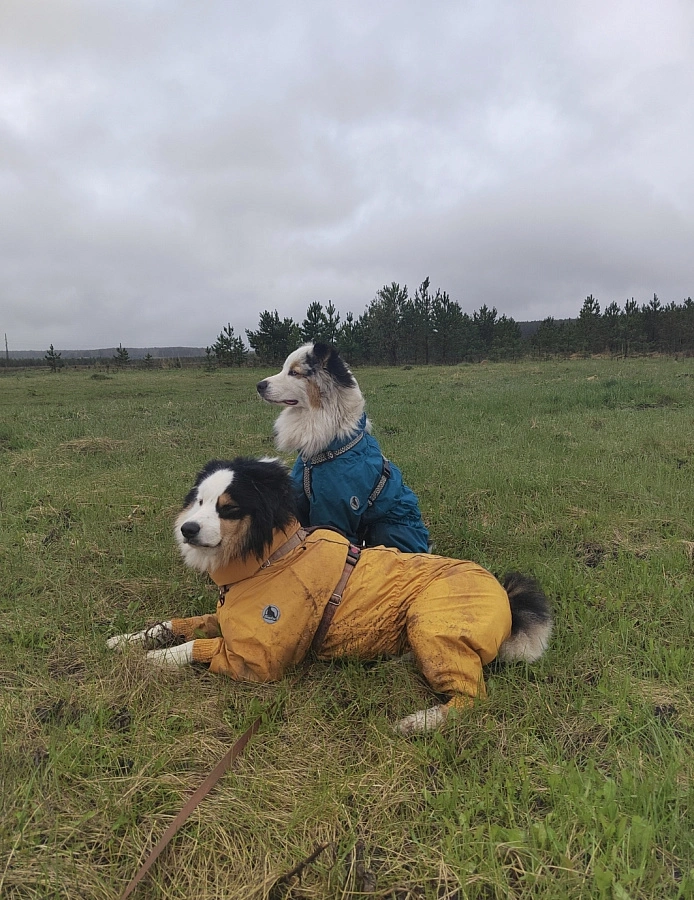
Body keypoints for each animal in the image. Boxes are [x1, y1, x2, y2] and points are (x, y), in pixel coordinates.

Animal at [109, 458, 556, 732]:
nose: (187, 530)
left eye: (229, 508)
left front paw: (151, 660)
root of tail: (507, 598)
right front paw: (125, 640)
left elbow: (192, 647)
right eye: (199, 501)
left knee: (473, 698)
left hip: (432, 621)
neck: (272, 558)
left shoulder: (257, 660)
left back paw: (417, 722)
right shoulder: (225, 614)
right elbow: (176, 624)